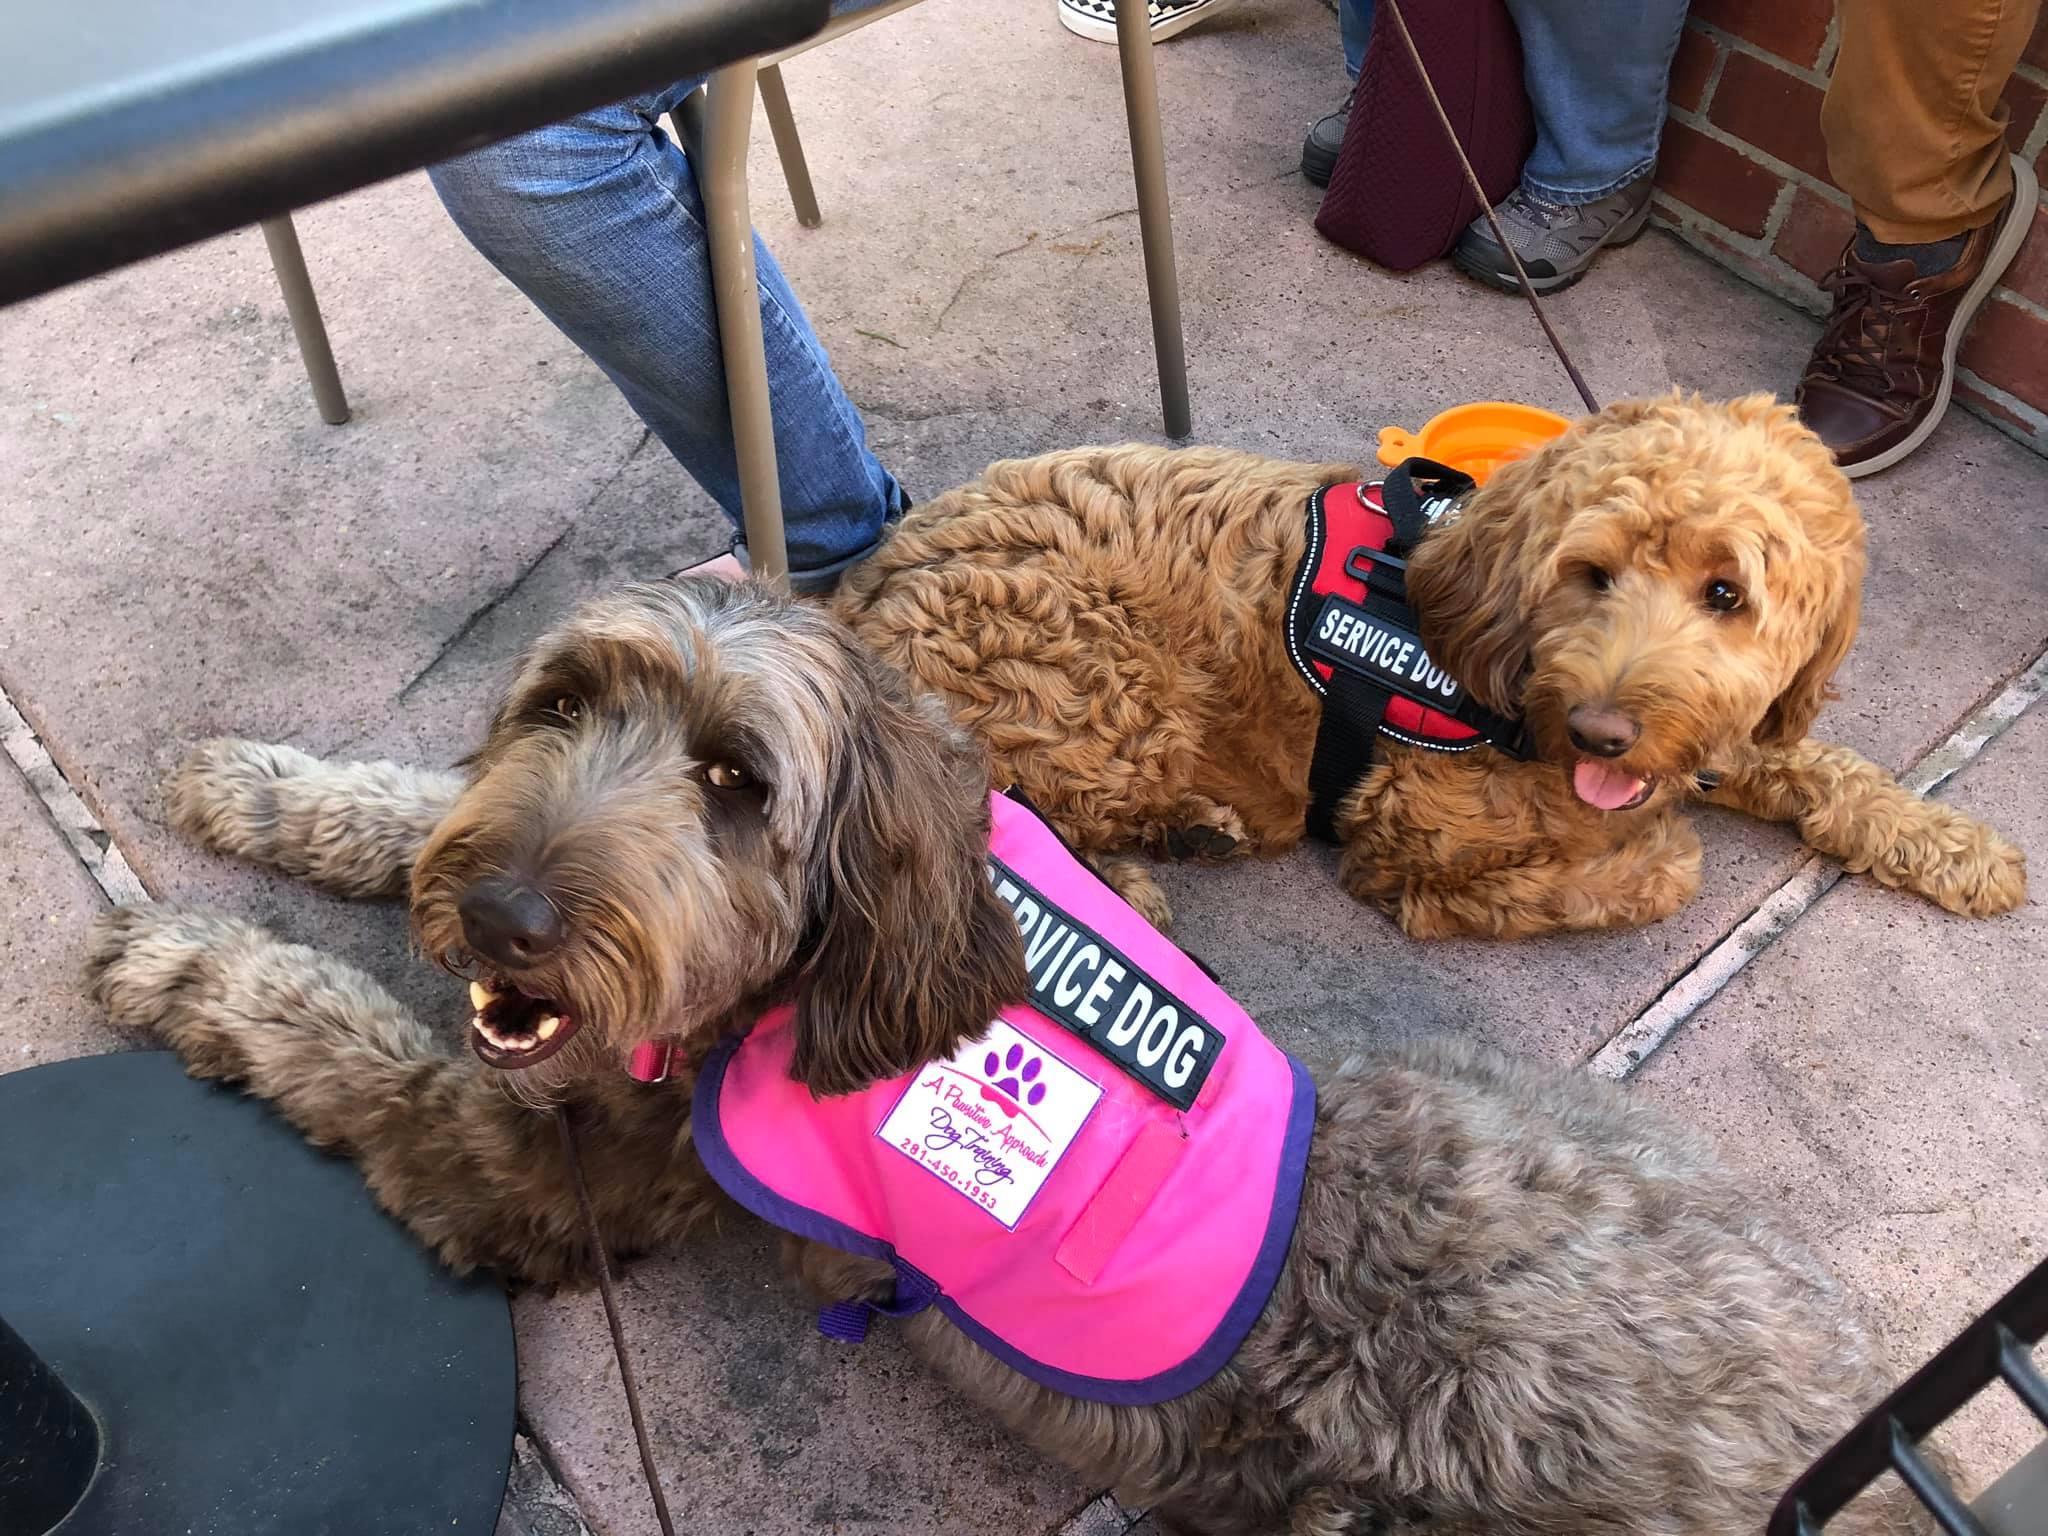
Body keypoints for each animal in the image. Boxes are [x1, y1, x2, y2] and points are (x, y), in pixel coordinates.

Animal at [90, 578, 1933, 1536]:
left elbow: (350, 1047)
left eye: (736, 787)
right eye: (562, 703)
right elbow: (404, 808)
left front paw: (192, 958)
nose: (507, 914)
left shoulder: (545, 1169)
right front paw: (263, 791)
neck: (858, 946)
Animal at [833, 393, 2025, 937]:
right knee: (998, 810)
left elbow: (1824, 765)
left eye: (1726, 594)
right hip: (1101, 682)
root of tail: (862, 584)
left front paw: (1950, 844)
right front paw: (1635, 855)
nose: (1600, 731)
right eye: (1590, 573)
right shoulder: (1407, 824)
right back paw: (1131, 874)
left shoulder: (1714, 731)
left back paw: (1185, 833)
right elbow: (1635, 874)